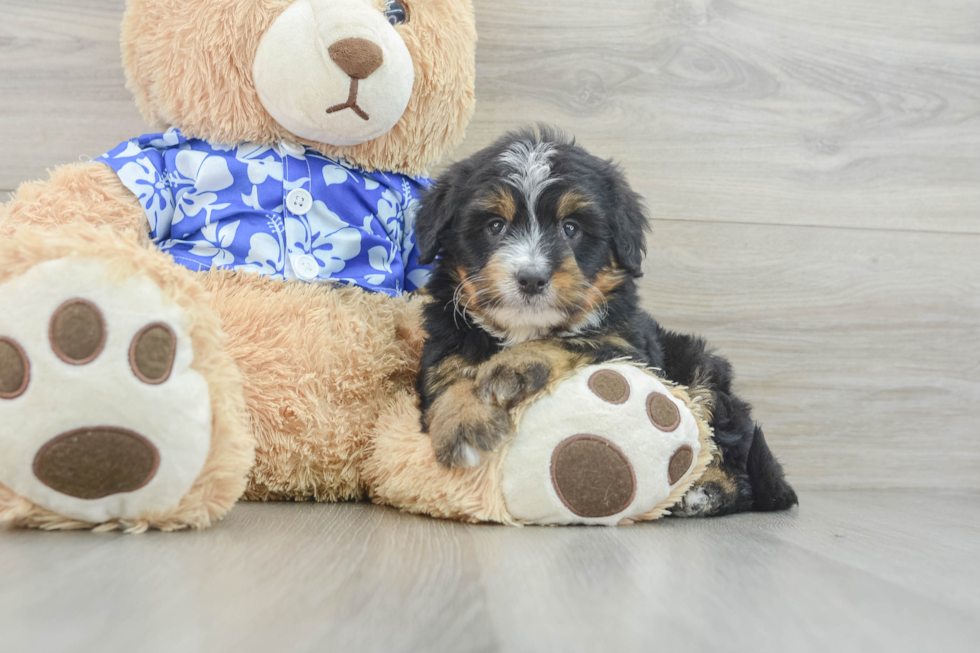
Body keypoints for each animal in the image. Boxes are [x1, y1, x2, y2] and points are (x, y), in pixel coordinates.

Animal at [412, 126, 796, 516]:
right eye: (495, 225)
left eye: (570, 228)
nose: (532, 278)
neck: (523, 328)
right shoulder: (446, 339)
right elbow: (448, 372)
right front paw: (462, 419)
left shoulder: (627, 346)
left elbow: (566, 341)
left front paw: (512, 366)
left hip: (702, 371)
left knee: (733, 461)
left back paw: (706, 491)